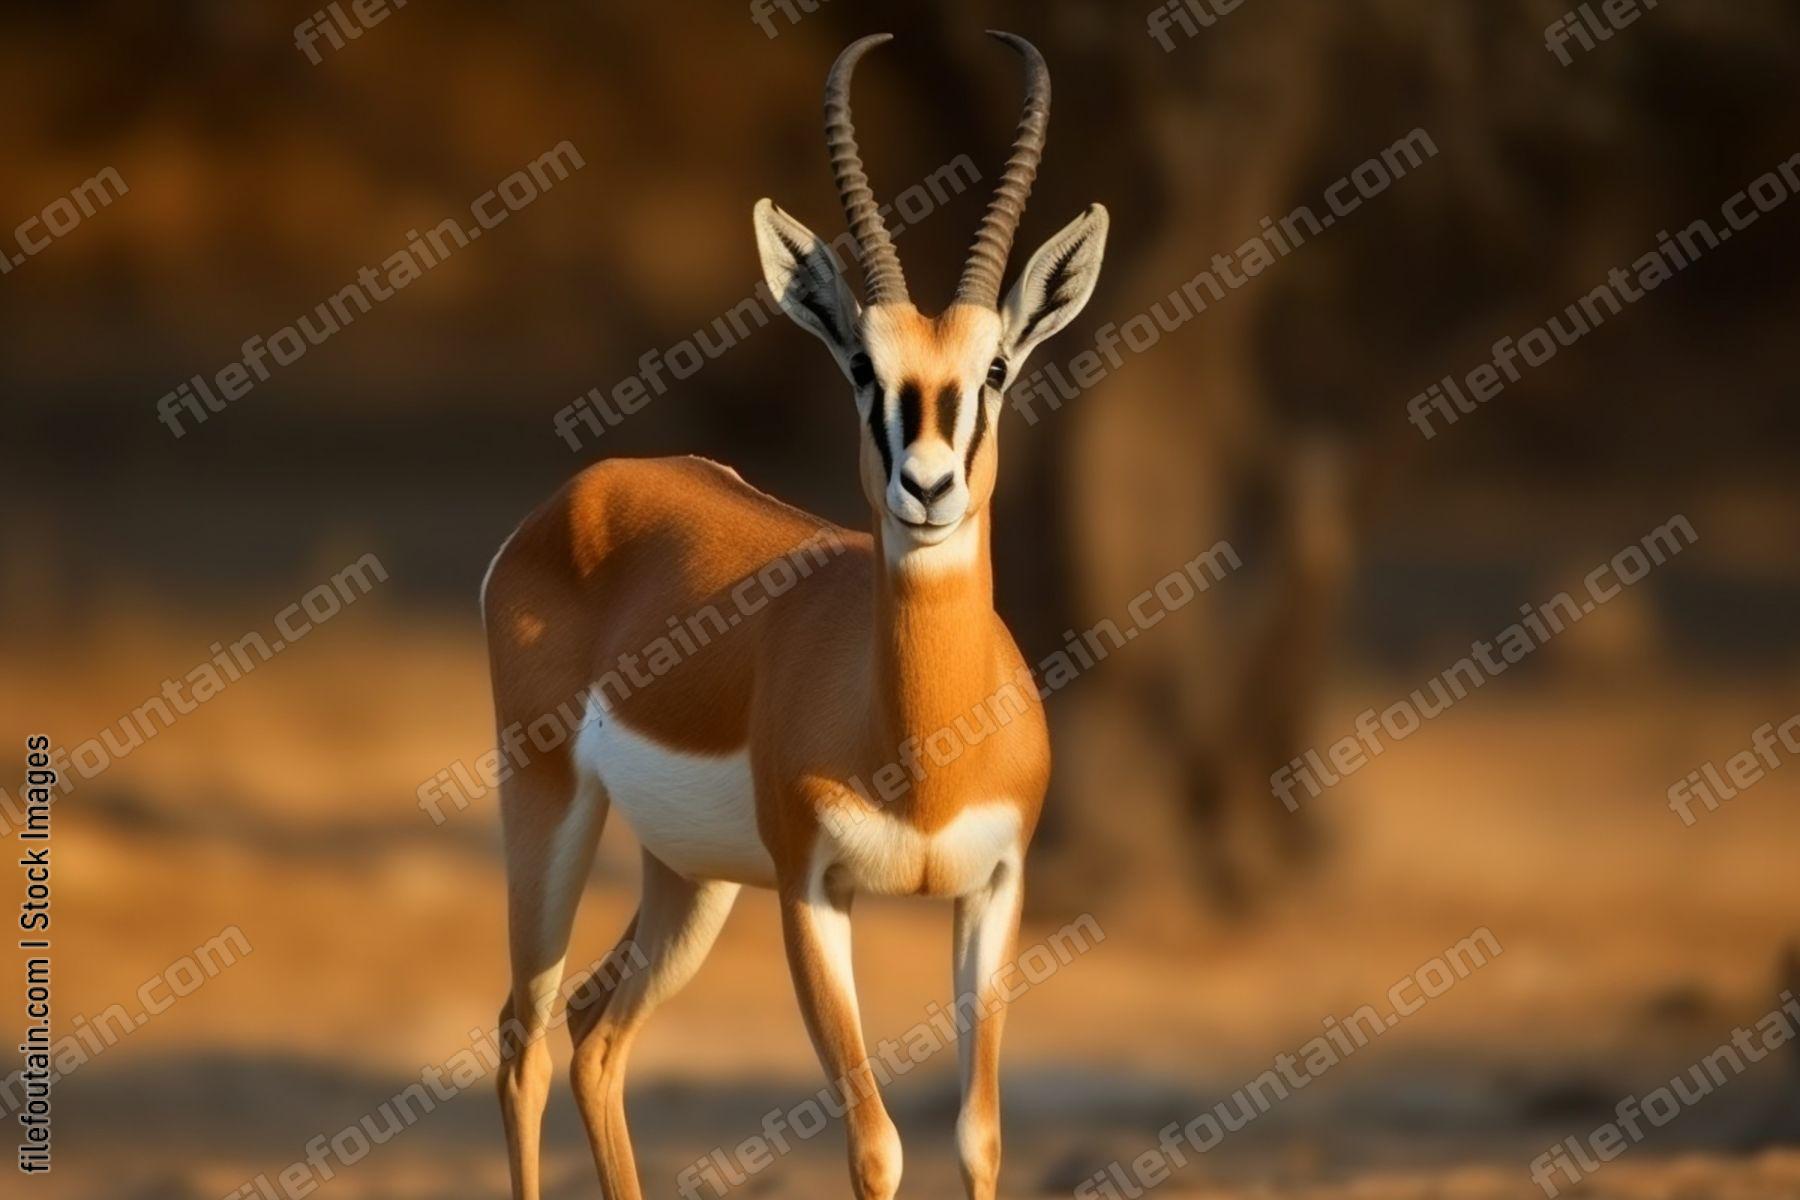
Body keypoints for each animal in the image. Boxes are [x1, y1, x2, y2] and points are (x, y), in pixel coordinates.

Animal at [483, 31, 1107, 1200]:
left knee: (596, 1033)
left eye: (995, 368)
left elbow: (978, 1136)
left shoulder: (993, 892)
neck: (919, 747)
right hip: (546, 807)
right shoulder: (813, 895)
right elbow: (877, 1143)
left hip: (688, 877)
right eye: (863, 367)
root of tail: (593, 487)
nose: (926, 486)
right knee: (523, 1036)